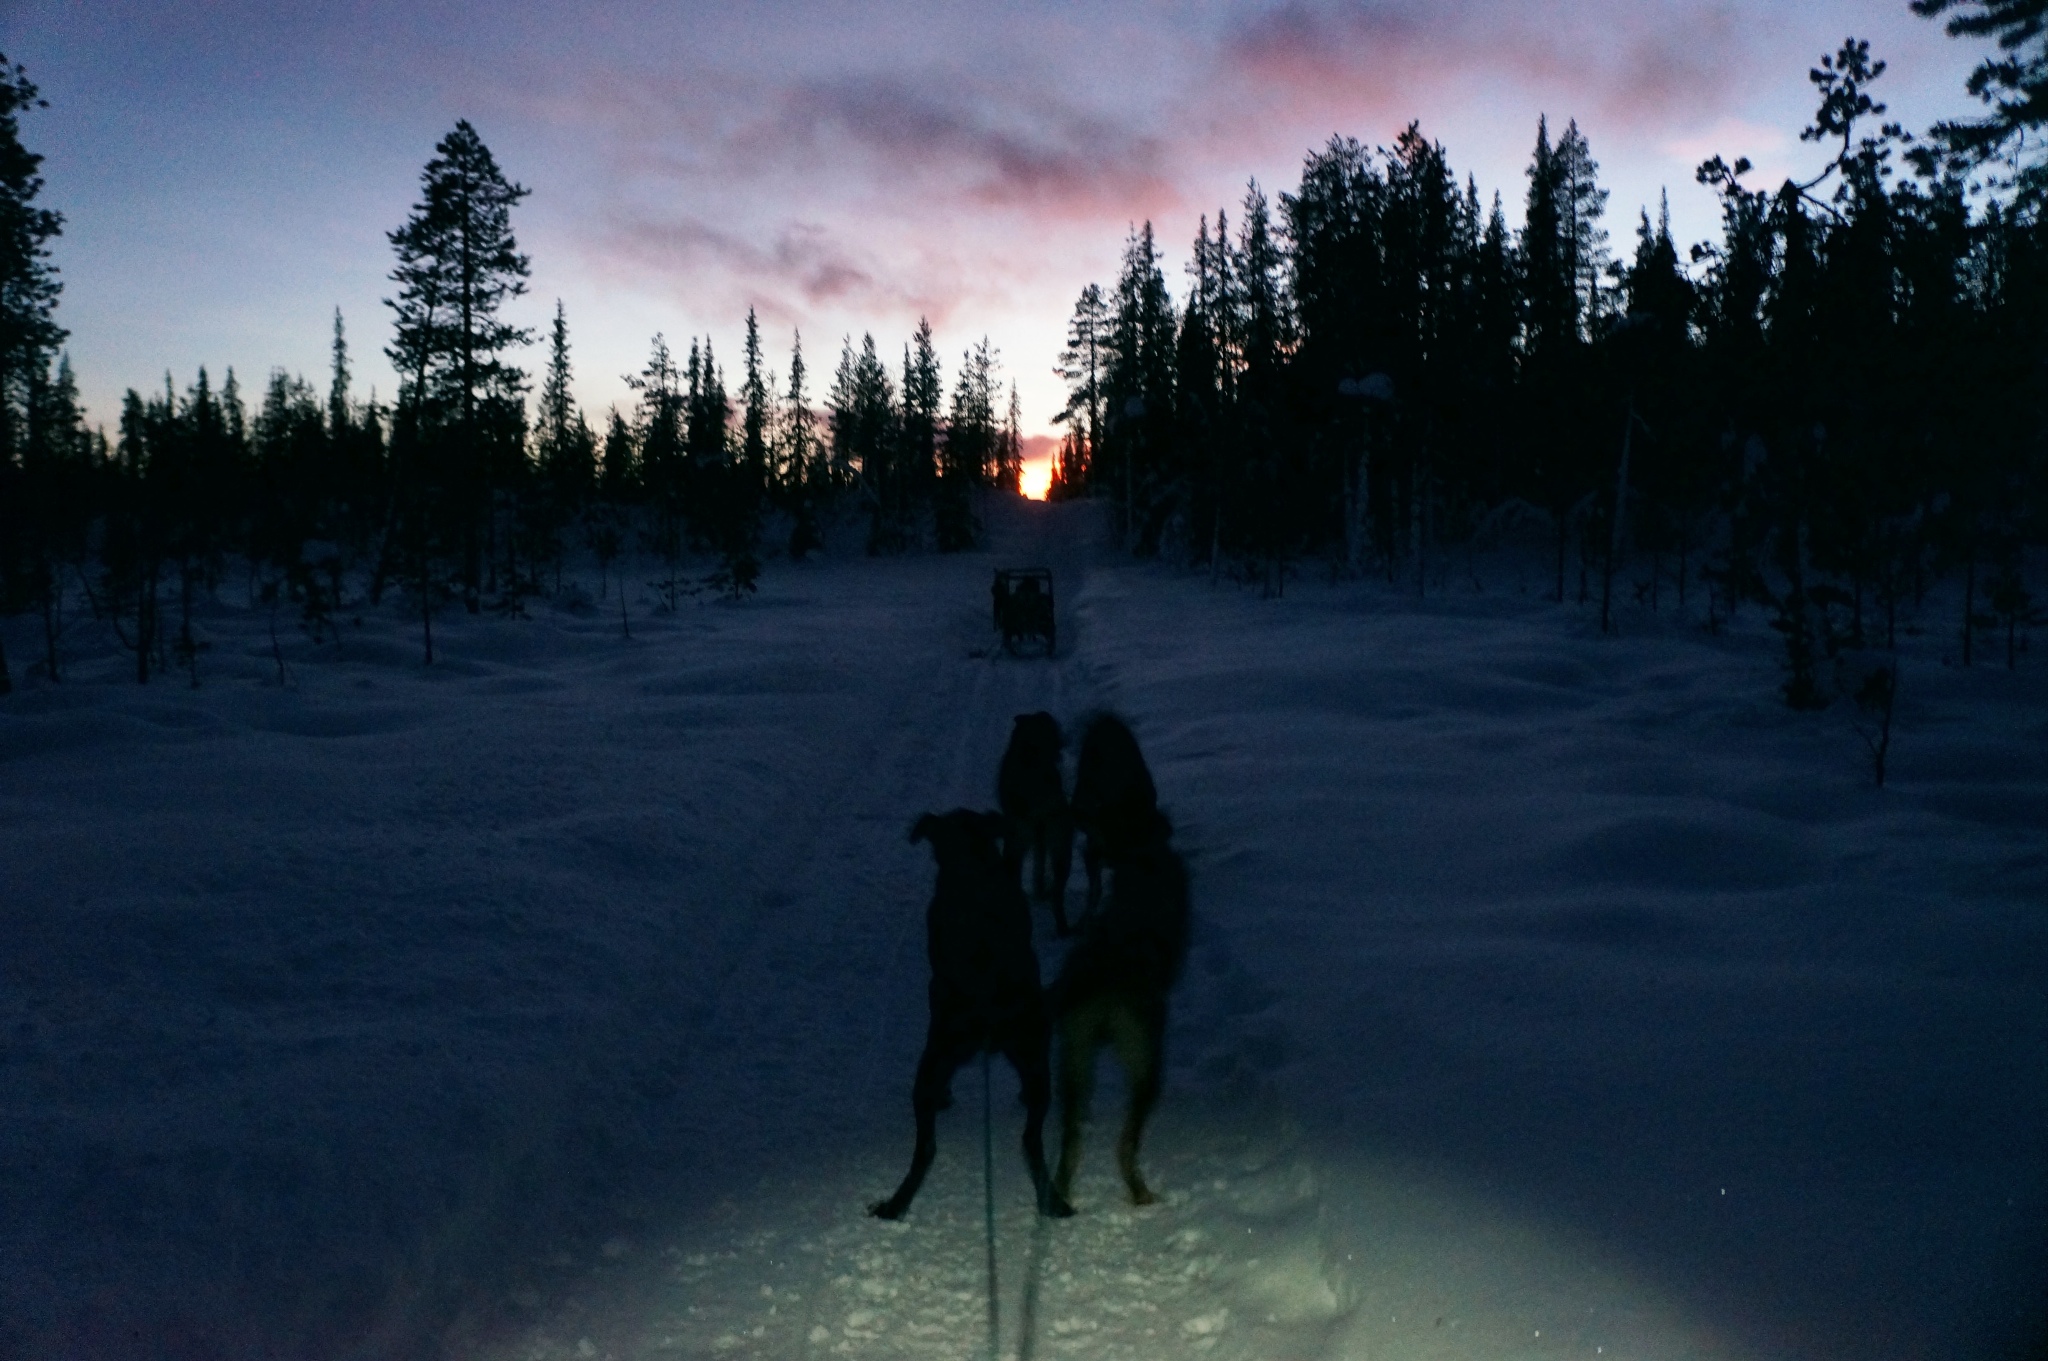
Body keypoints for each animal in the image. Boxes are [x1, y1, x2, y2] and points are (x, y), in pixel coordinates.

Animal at [872, 806, 1081, 1219]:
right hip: (1034, 1065)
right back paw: (1051, 1200)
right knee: (1028, 1139)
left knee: (928, 1147)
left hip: (932, 1065)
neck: (972, 862)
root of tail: (988, 1000)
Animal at [999, 712, 1081, 933]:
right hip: (1057, 847)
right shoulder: (1042, 840)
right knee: (1055, 892)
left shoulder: (1038, 841)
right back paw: (1063, 927)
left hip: (1020, 845)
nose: (1063, 741)